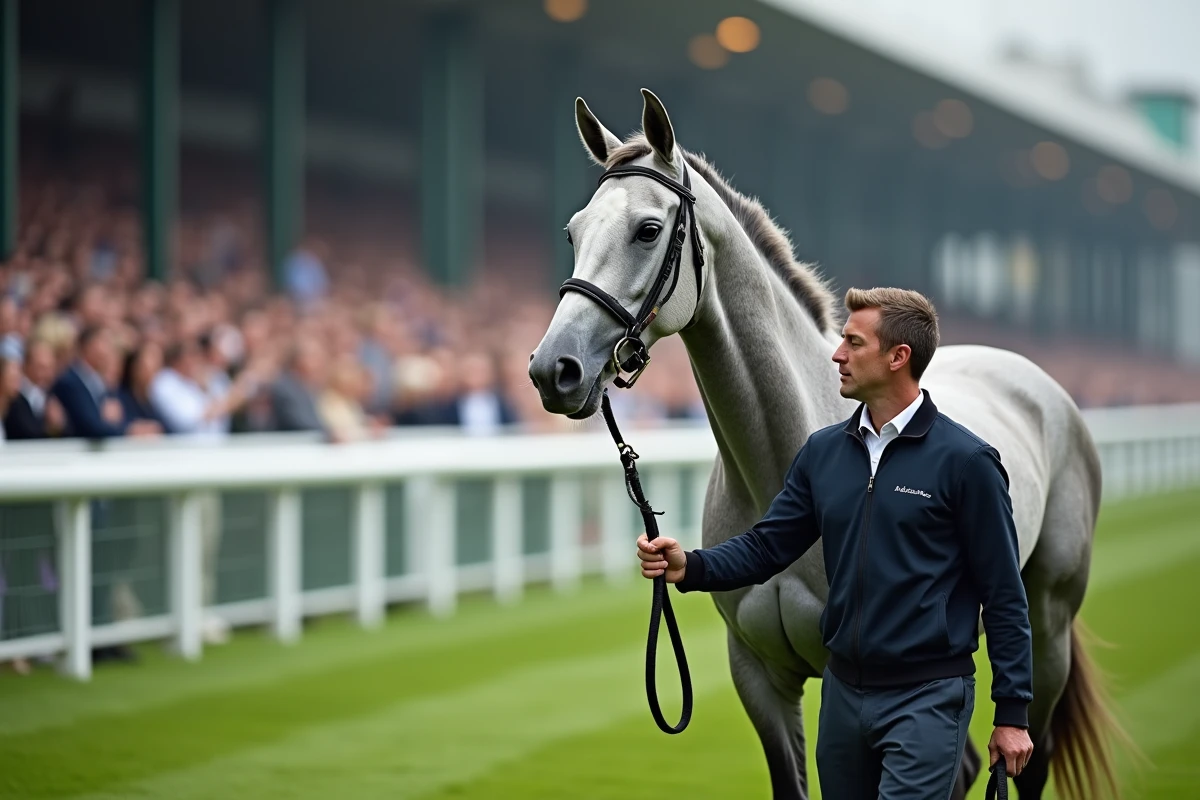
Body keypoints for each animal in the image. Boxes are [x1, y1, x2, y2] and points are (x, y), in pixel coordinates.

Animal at [527, 88, 1127, 800]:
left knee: (1028, 753)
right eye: (573, 231)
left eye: (647, 229)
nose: (553, 369)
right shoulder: (759, 677)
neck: (784, 457)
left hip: (1046, 623)